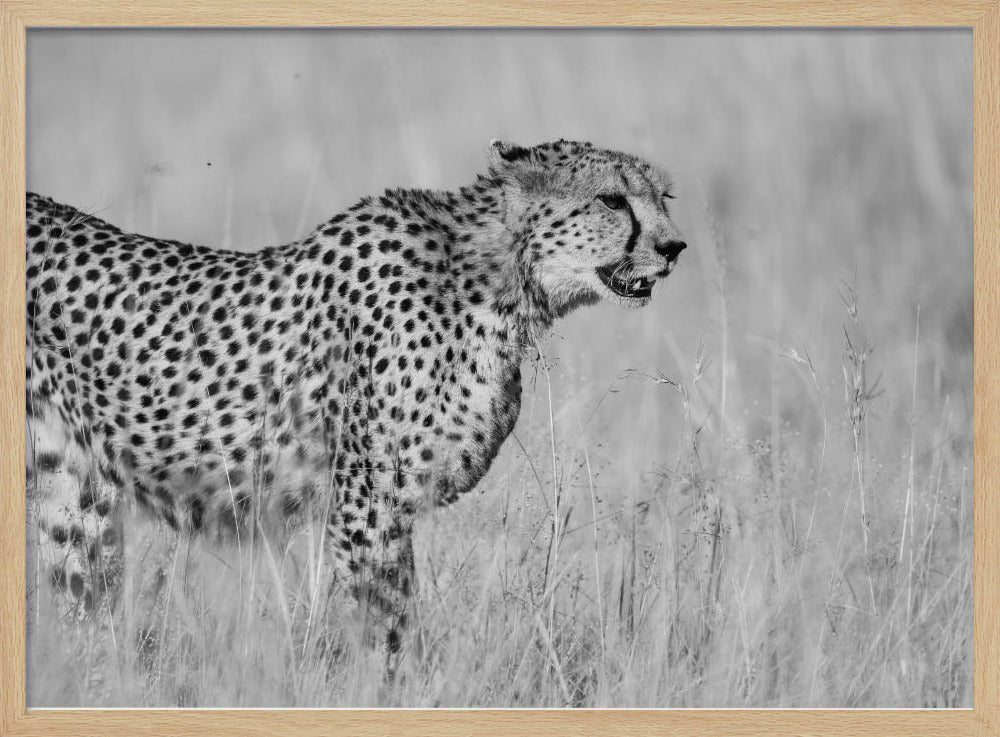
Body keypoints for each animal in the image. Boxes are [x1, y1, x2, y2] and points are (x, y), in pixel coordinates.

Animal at [25, 138, 687, 666]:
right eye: (612, 200)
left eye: (663, 197)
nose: (674, 247)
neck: (496, 281)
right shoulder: (366, 505)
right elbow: (387, 628)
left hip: (72, 495)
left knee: (82, 602)